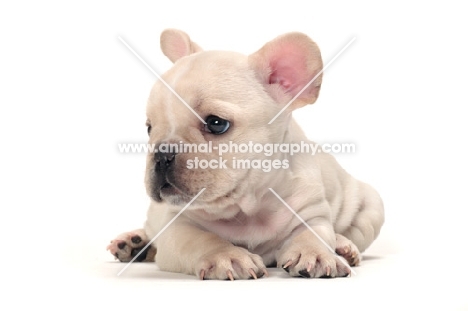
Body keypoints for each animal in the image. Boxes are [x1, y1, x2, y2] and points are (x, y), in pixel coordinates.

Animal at [109, 29, 384, 280]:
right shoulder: (176, 225)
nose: (162, 153)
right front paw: (226, 255)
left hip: (371, 207)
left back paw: (344, 246)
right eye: (149, 128)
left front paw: (316, 253)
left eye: (217, 123)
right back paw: (134, 243)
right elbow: (200, 239)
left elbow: (312, 234)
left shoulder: (310, 211)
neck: (249, 209)